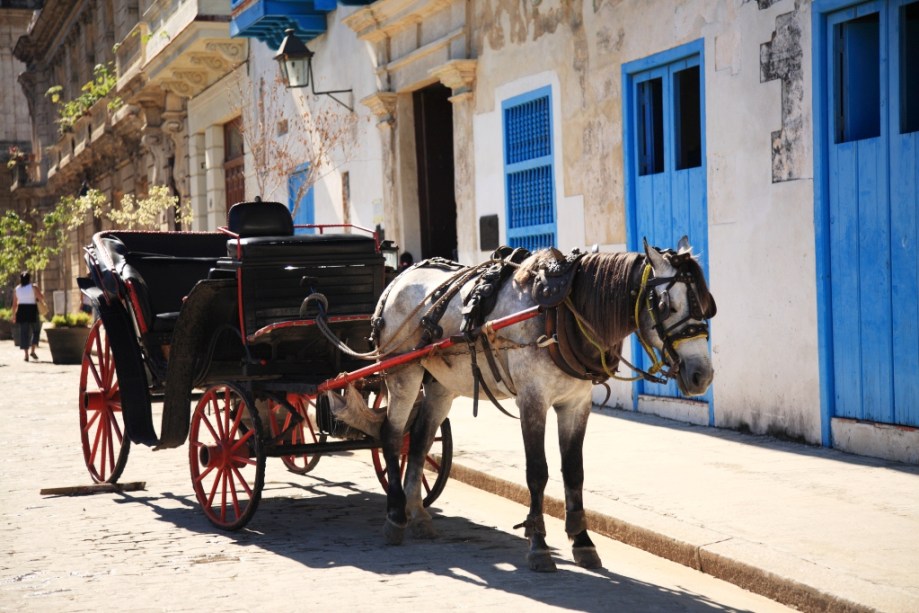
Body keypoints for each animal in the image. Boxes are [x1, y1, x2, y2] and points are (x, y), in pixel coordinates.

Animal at [364, 237, 712, 572]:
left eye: (707, 306)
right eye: (668, 305)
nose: (702, 375)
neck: (562, 313)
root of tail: (399, 280)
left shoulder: (576, 404)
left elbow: (574, 472)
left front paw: (583, 543)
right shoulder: (532, 401)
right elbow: (537, 473)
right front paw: (539, 546)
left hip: (441, 385)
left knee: (419, 441)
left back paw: (418, 514)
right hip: (403, 374)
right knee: (392, 436)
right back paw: (395, 515)